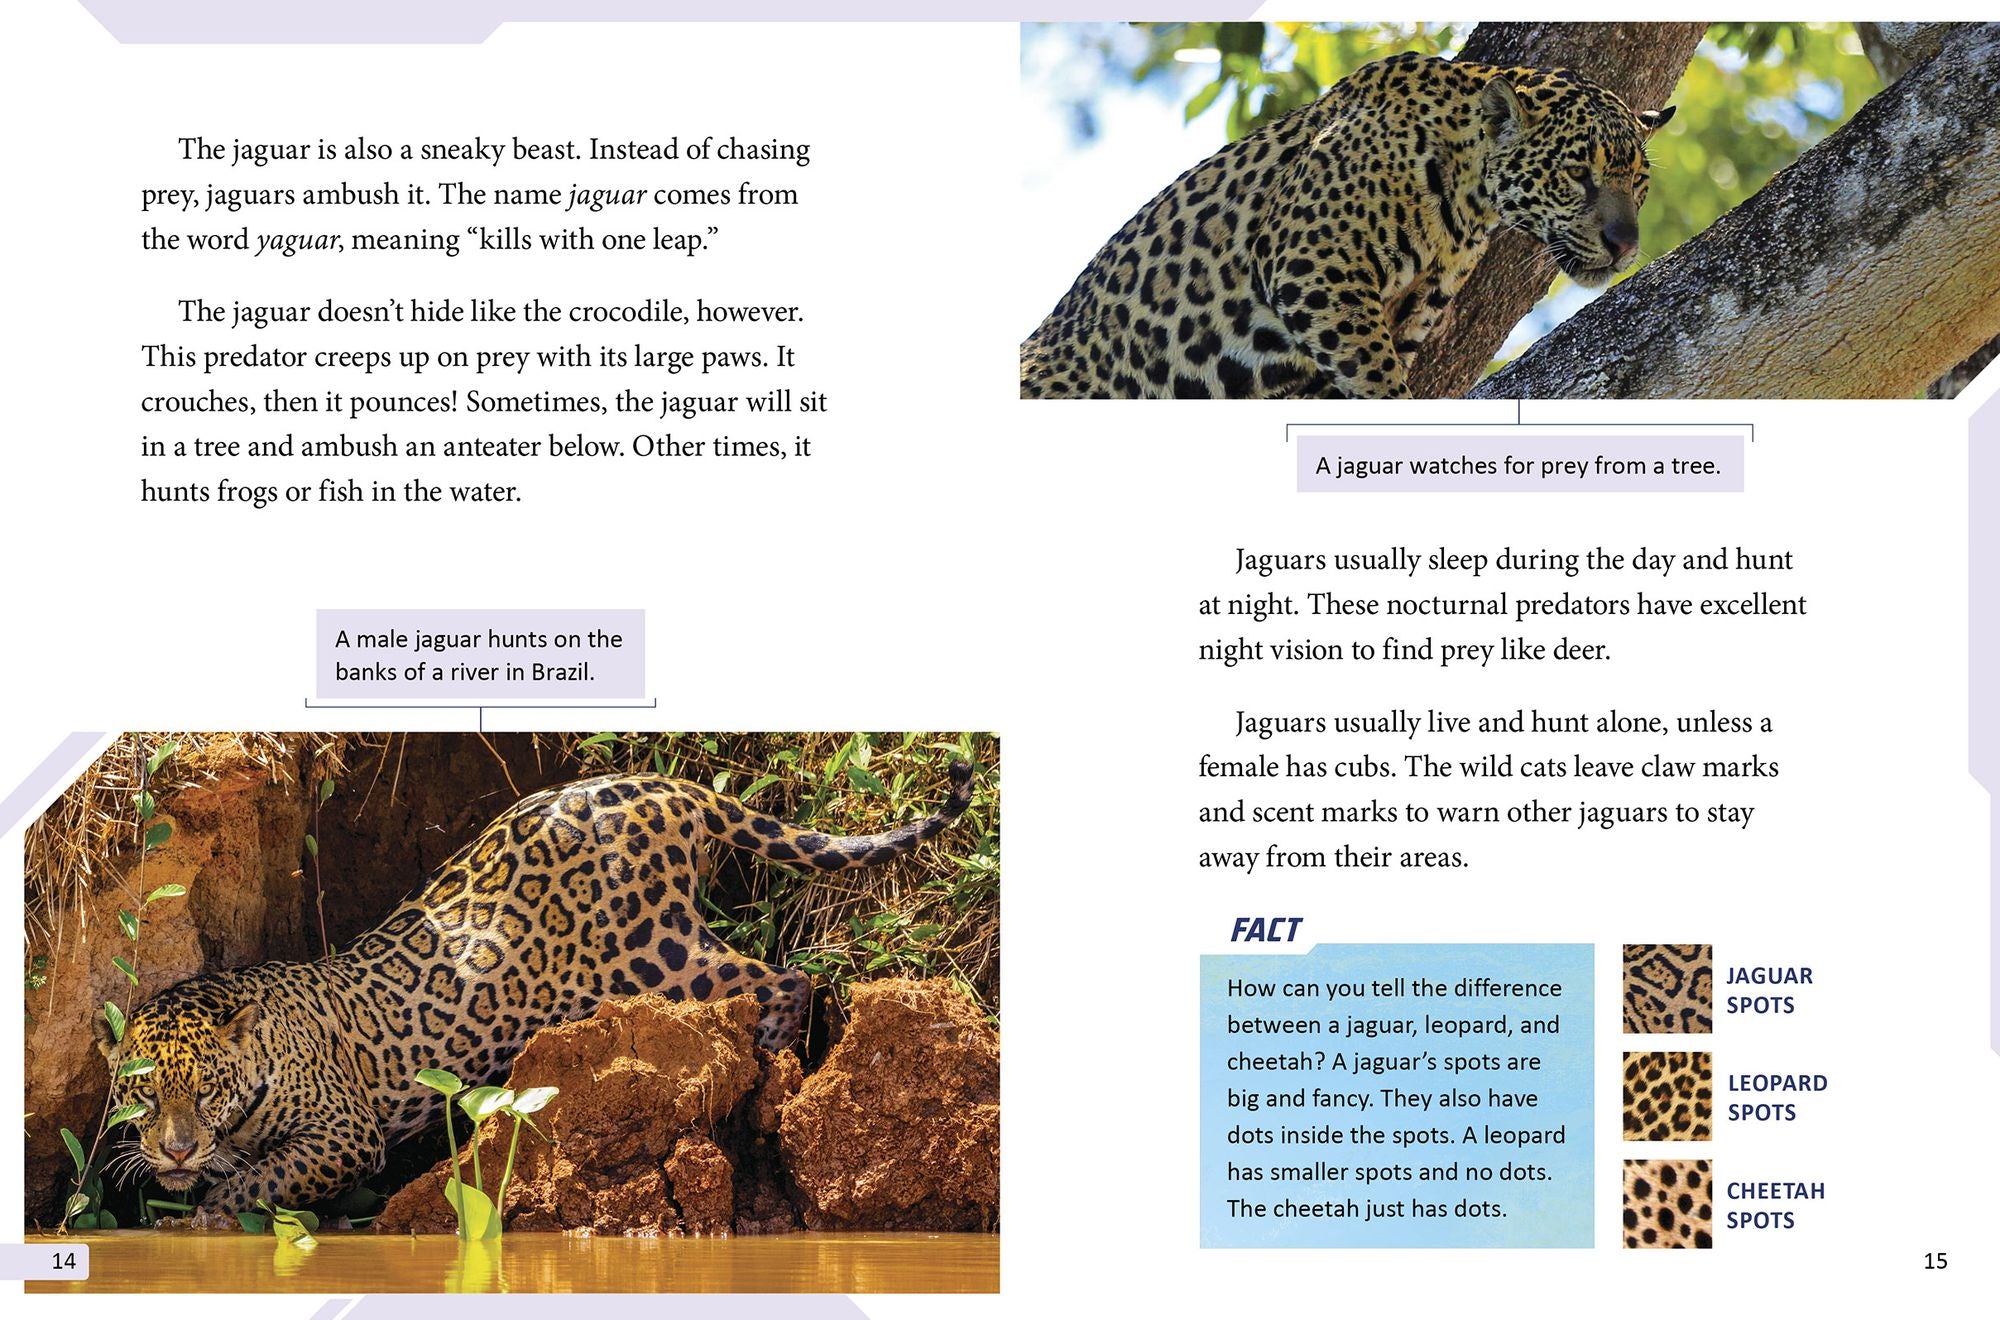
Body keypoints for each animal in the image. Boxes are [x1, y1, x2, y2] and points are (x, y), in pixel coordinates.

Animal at [92, 763, 973, 1216]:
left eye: (207, 1090)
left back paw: (767, 1066)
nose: (175, 1149)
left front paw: (214, 1206)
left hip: (656, 951)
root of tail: (668, 784)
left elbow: (264, 1176)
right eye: (144, 1097)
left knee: (784, 975)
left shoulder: (343, 1132)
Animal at [1020, 51, 1673, 400]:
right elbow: (1380, 382)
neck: (1467, 203)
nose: (1625, 246)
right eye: (1577, 173)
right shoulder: (1313, 269)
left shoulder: (1406, 317)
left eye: (1639, 181)